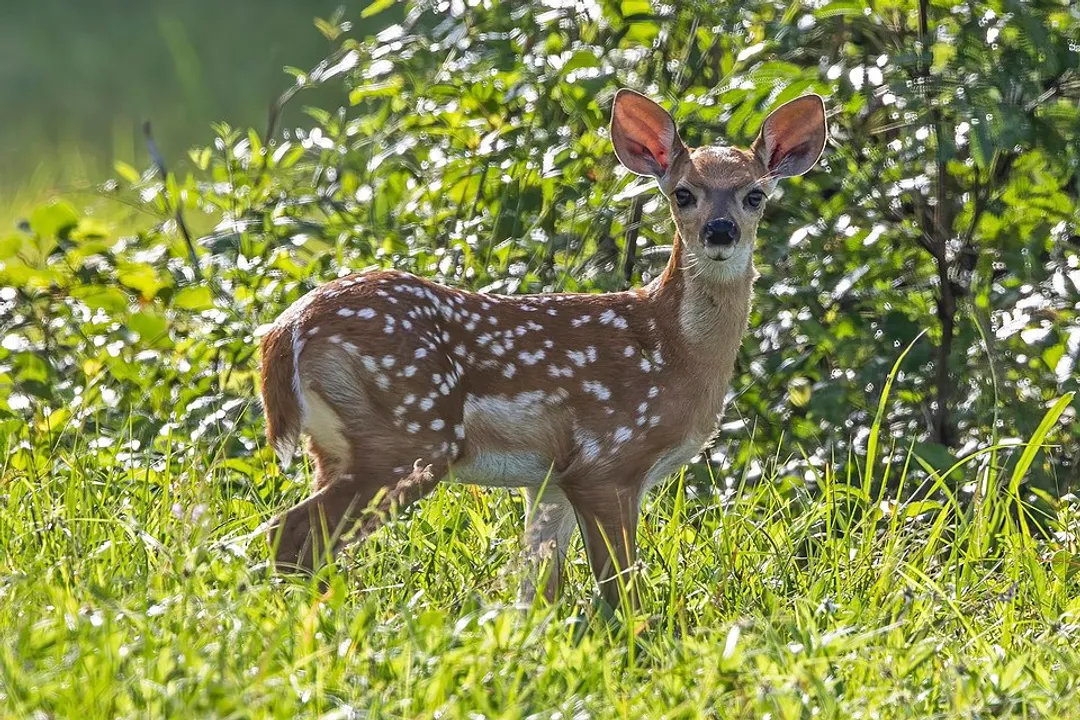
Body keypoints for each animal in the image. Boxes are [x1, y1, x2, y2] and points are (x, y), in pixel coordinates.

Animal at [259, 89, 827, 610]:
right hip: (407, 435)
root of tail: (288, 328)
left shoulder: (551, 479)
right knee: (290, 534)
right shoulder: (608, 460)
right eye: (683, 193)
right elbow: (622, 591)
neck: (675, 352)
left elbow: (536, 589)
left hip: (337, 444)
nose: (720, 231)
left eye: (755, 195)